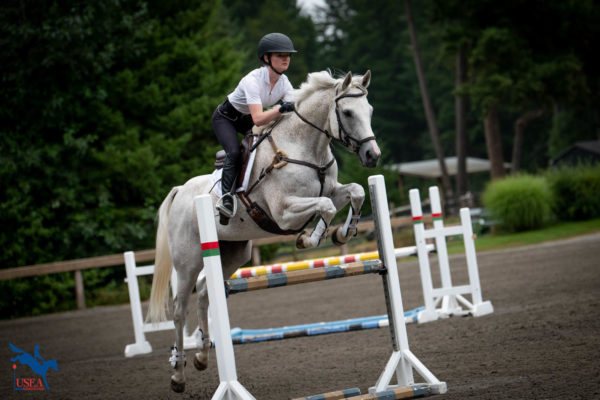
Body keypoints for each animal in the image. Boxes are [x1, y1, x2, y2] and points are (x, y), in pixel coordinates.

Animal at [146, 69, 380, 394]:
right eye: (346, 112)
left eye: (369, 110)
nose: (373, 156)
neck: (305, 148)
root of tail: (181, 191)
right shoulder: (284, 212)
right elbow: (326, 207)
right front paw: (309, 238)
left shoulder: (332, 190)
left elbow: (354, 192)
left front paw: (342, 234)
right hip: (188, 261)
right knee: (180, 309)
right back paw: (178, 375)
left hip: (233, 253)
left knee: (205, 292)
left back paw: (203, 356)